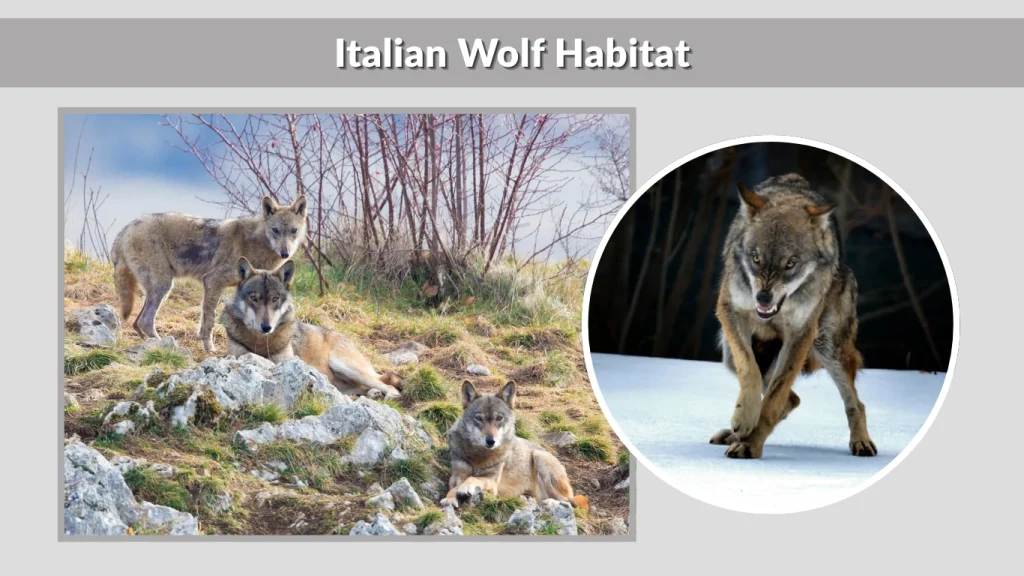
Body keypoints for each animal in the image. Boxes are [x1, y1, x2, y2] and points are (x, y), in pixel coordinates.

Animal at [111, 195, 309, 353]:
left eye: (293, 231)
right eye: (275, 230)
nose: (285, 253)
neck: (254, 243)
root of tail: (125, 230)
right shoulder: (213, 281)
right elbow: (209, 321)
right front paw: (210, 349)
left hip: (159, 289)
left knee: (137, 322)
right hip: (163, 286)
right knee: (145, 321)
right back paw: (168, 347)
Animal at [218, 257, 403, 399]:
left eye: (275, 299)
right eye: (254, 298)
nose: (266, 327)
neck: (261, 342)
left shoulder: (284, 361)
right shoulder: (237, 355)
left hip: (342, 364)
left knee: (389, 386)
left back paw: (386, 395)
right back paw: (373, 394)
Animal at [441, 380, 588, 510]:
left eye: (499, 418)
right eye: (478, 418)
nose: (491, 441)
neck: (479, 455)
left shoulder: (492, 481)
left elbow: (473, 478)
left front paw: (464, 487)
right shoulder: (457, 475)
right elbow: (454, 487)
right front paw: (449, 498)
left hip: (540, 457)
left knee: (567, 501)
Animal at [710, 173, 877, 459]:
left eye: (791, 263)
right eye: (756, 258)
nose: (763, 299)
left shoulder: (801, 334)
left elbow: (774, 398)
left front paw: (750, 445)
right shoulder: (730, 310)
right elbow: (750, 372)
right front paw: (744, 422)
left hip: (828, 347)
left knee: (855, 402)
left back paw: (861, 442)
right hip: (729, 355)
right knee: (791, 398)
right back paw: (734, 433)